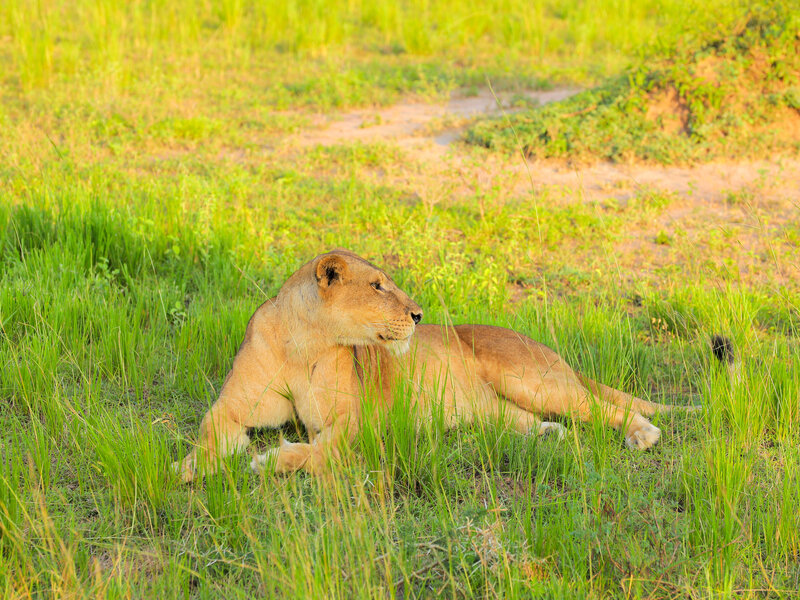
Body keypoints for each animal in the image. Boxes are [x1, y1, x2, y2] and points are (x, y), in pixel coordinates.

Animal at [174, 249, 689, 482]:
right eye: (377, 286)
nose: (419, 315)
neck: (303, 344)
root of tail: (541, 345)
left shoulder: (355, 420)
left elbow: (316, 453)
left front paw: (266, 459)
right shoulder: (230, 408)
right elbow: (207, 436)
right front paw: (185, 468)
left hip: (530, 377)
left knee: (604, 408)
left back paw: (643, 434)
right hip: (491, 404)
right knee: (520, 418)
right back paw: (548, 434)